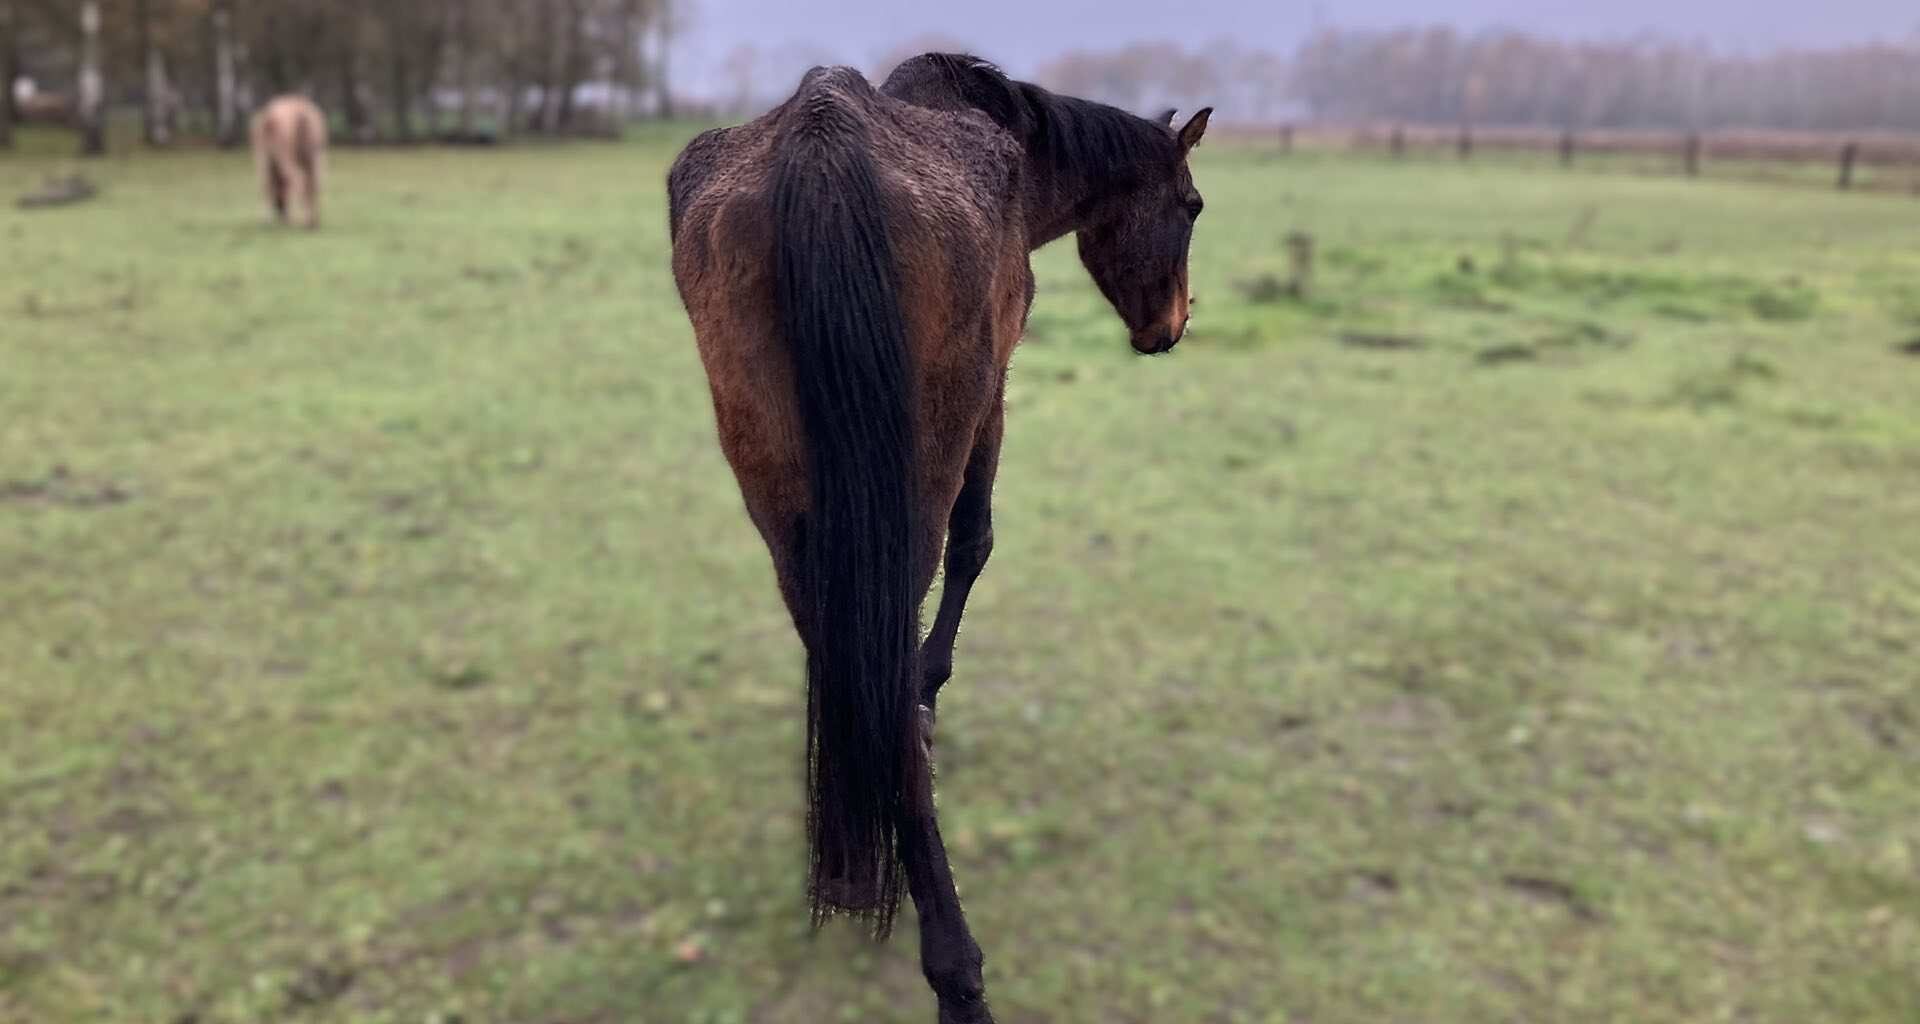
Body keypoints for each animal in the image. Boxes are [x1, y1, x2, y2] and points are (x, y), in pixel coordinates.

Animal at [249, 95, 327, 229]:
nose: (280, 210)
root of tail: (302, 112)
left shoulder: (262, 157)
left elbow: (267, 185)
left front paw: (267, 220)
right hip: (315, 156)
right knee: (313, 184)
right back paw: (313, 221)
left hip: (285, 154)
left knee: (297, 179)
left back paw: (299, 220)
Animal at [667, 54, 1210, 1023]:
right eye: (1191, 206)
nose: (1172, 326)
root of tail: (821, 142)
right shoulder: (994, 396)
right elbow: (976, 547)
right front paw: (929, 695)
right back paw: (953, 964)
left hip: (780, 495)